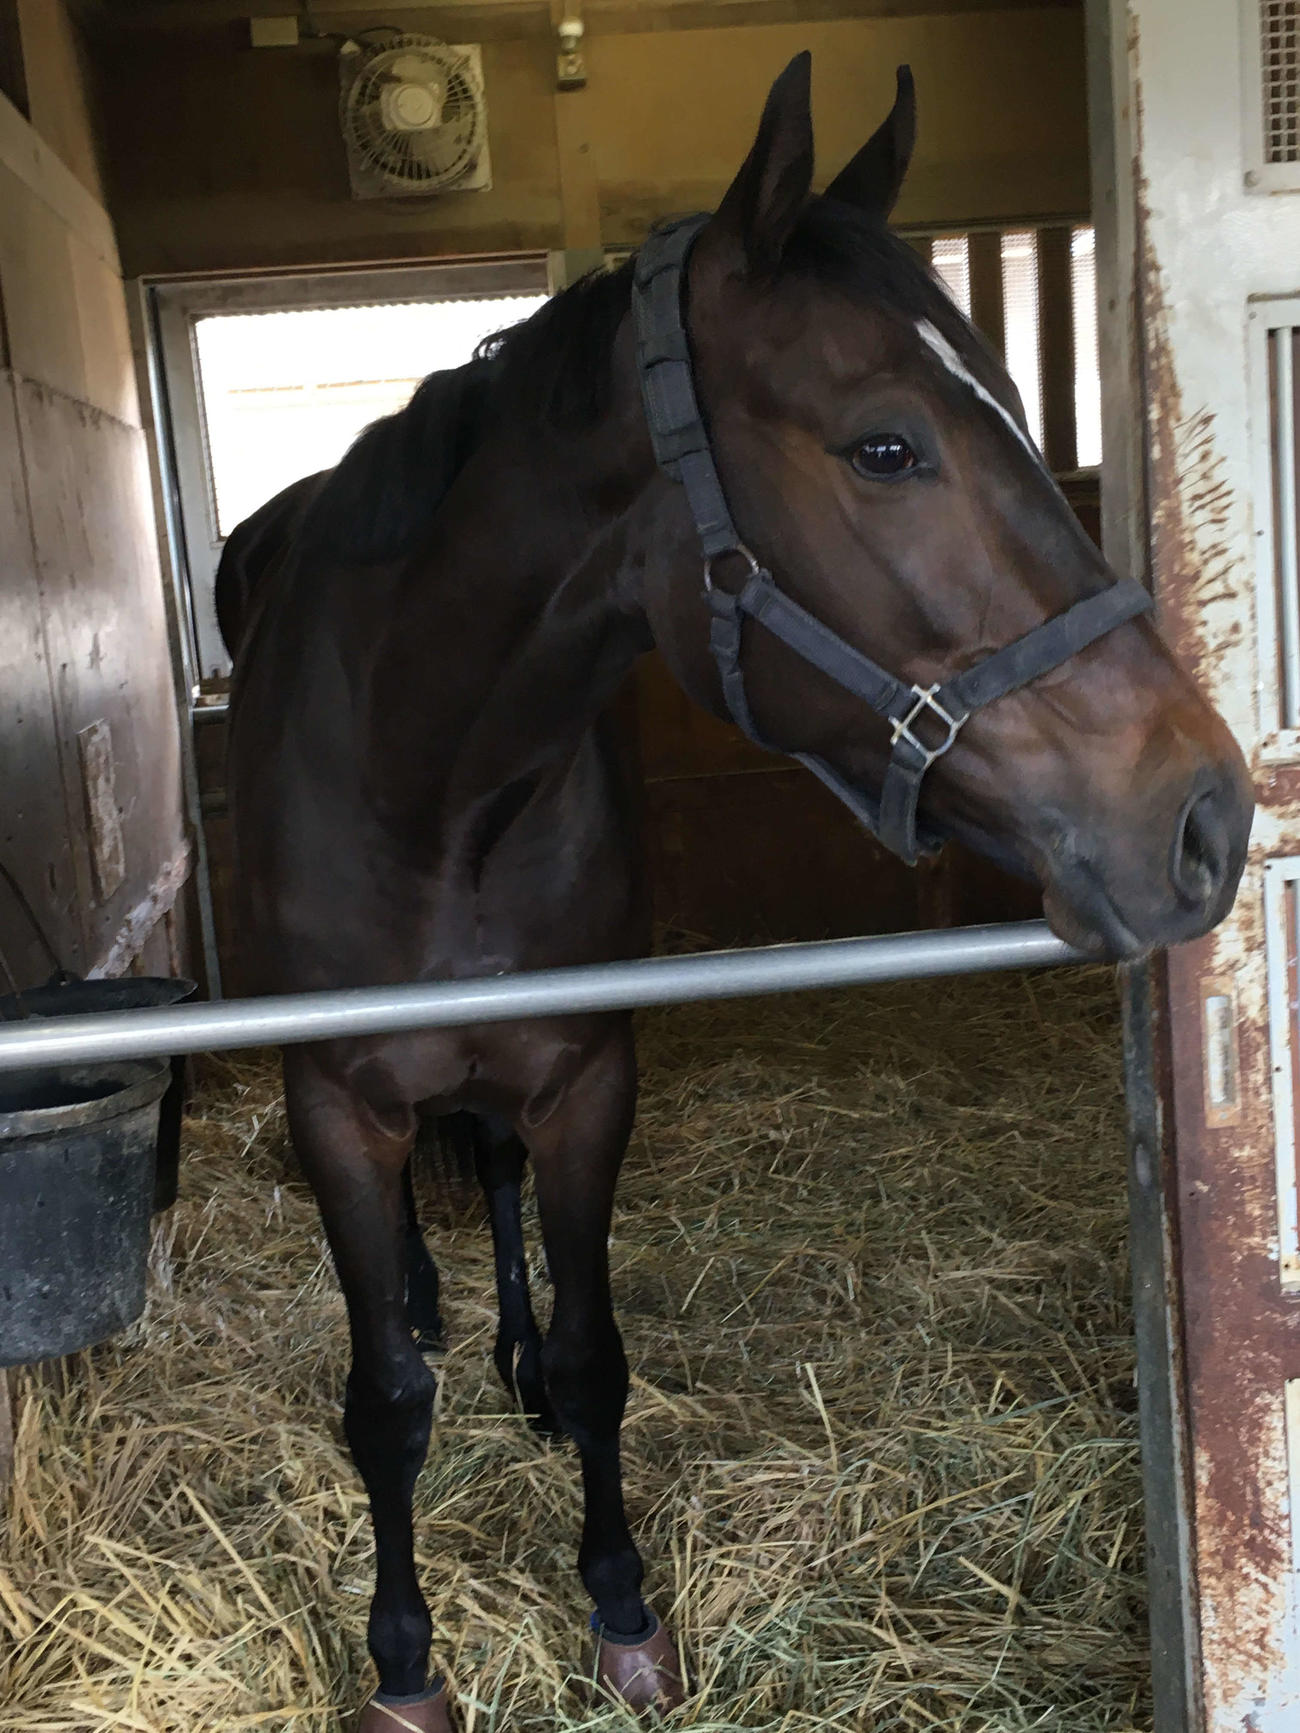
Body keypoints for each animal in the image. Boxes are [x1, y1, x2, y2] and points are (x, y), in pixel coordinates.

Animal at [217, 55, 1253, 1727]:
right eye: (886, 447)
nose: (1205, 814)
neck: (427, 779)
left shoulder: (586, 1070)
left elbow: (595, 1357)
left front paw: (620, 1600)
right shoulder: (333, 1102)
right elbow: (382, 1401)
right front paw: (403, 1656)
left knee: (491, 1177)